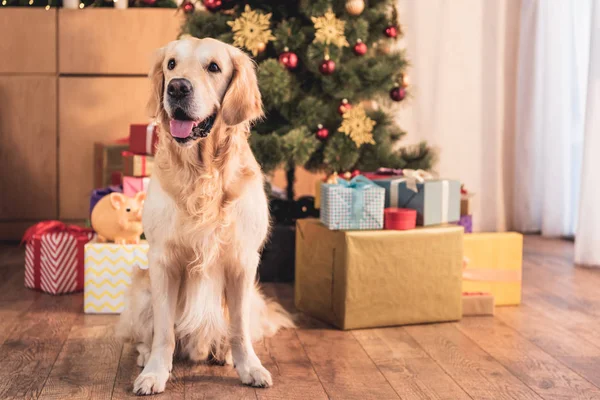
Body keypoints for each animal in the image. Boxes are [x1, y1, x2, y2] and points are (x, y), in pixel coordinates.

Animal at [116, 36, 292, 394]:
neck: (203, 172)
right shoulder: (163, 260)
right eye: (171, 64)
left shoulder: (242, 261)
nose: (177, 88)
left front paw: (249, 367)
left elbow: (239, 328)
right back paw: (145, 356)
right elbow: (164, 332)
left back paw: (222, 353)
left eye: (213, 67)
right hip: (141, 288)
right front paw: (155, 373)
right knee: (146, 335)